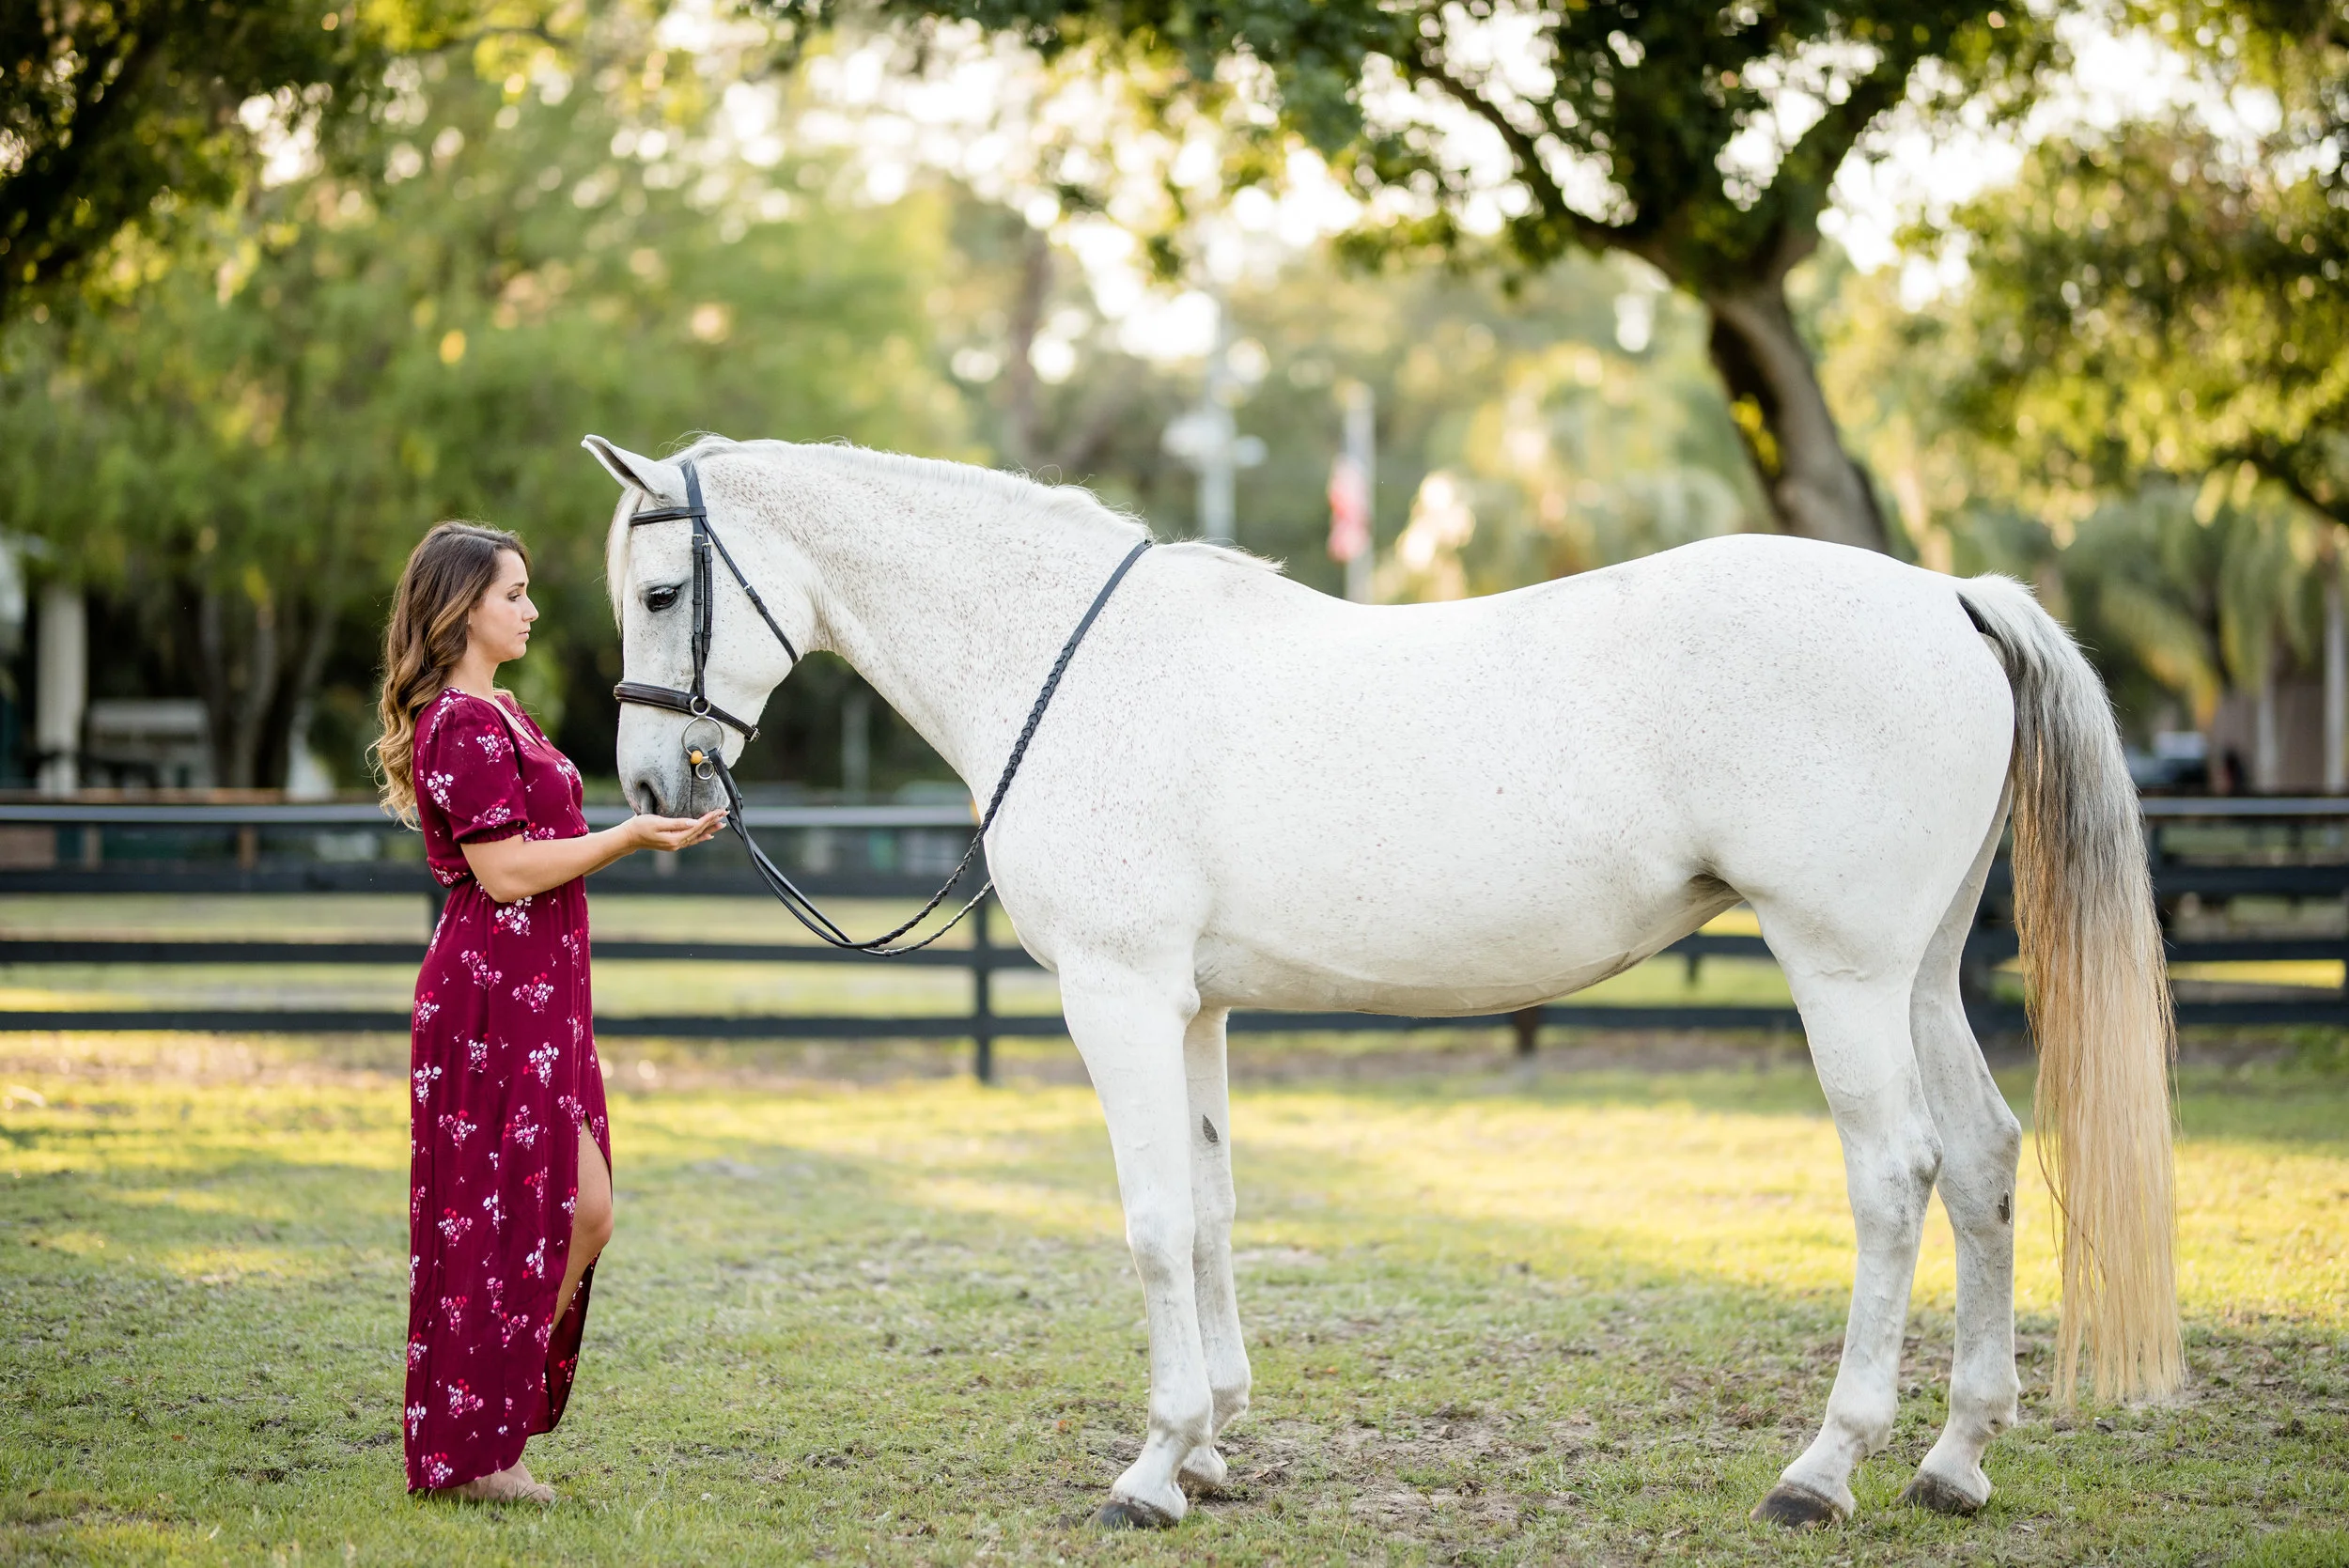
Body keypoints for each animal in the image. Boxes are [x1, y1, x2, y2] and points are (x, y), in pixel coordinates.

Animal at [583, 432, 2180, 1530]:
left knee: (1896, 1174)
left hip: (1840, 970)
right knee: (1985, 1159)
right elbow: (1213, 1212)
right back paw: (1955, 1458)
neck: (1069, 666)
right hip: (1922, 972)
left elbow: (1152, 1224)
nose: (656, 784)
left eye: (664, 589)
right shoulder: (1197, 1007)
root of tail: (1950, 597)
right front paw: (1214, 1443)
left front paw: (1151, 1468)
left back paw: (1824, 1466)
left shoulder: (1117, 996)